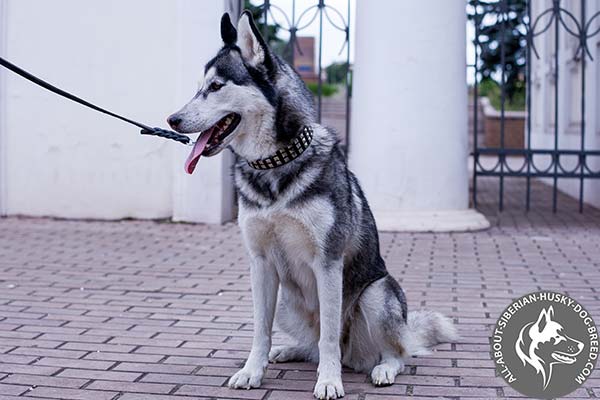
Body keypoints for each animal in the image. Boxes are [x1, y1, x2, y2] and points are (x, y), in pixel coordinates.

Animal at [166, 10, 458, 398]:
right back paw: (288, 350)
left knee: (393, 351)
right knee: (310, 344)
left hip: (377, 295)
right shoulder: (260, 264)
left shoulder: (328, 262)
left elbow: (329, 338)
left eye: (215, 87)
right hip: (286, 300)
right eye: (198, 87)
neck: (273, 165)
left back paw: (382, 368)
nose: (172, 120)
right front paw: (252, 371)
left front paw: (329, 381)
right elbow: (260, 330)